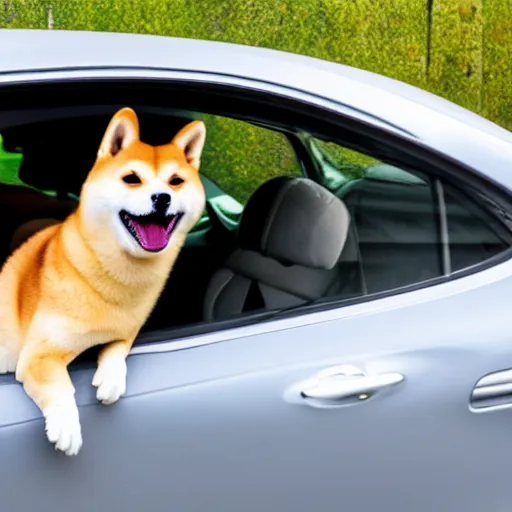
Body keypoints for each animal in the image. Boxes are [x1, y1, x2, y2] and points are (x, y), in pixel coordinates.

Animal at [0, 107, 206, 456]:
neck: (114, 276)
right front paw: (66, 426)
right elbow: (61, 386)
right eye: (132, 178)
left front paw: (111, 378)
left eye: (176, 181)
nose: (162, 197)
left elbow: (119, 347)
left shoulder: (126, 329)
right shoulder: (40, 353)